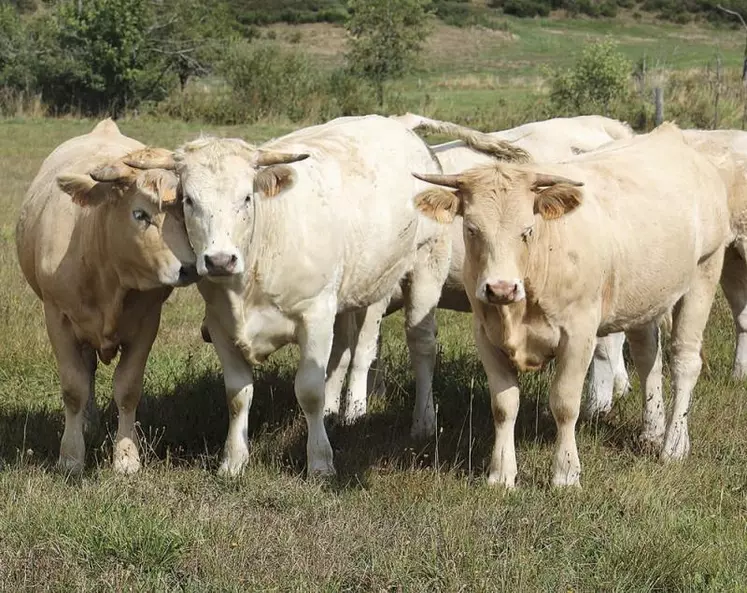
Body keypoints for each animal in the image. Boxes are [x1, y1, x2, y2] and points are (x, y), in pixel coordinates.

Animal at [15, 118, 196, 474]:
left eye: (182, 211)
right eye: (140, 214)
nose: (189, 268)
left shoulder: (146, 323)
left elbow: (128, 389)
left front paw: (126, 456)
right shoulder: (57, 318)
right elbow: (74, 388)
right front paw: (71, 456)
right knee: (86, 372)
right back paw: (86, 423)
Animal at [410, 122, 732, 488]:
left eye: (527, 230)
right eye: (471, 228)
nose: (501, 288)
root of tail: (671, 135)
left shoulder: (579, 334)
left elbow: (565, 403)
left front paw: (565, 474)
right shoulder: (486, 334)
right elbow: (504, 405)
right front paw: (501, 474)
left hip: (706, 269)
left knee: (684, 360)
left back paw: (674, 445)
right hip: (644, 296)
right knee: (648, 357)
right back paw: (651, 432)